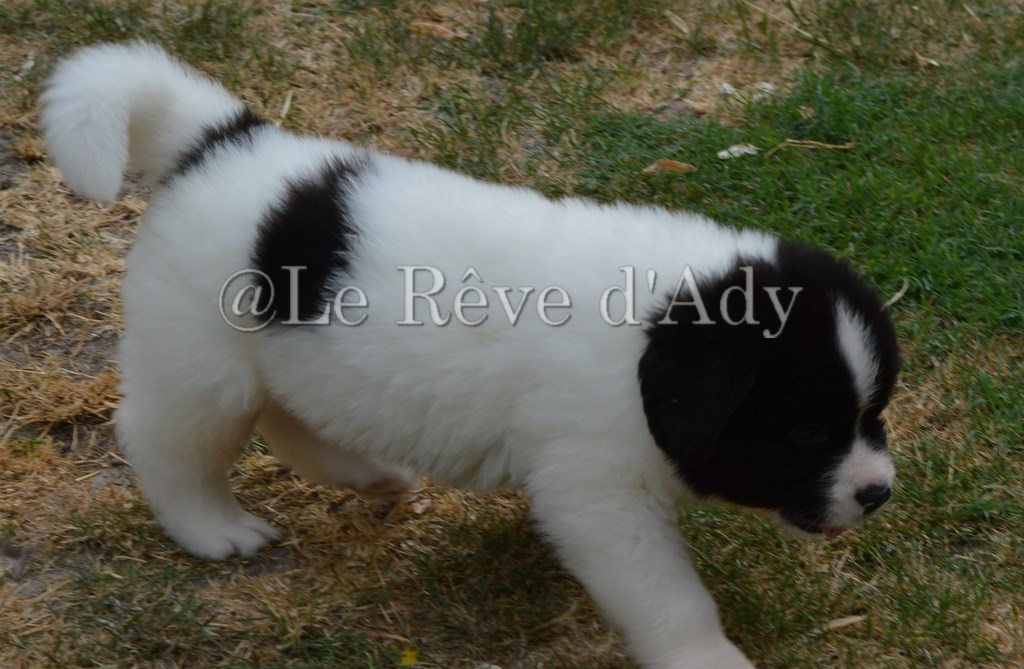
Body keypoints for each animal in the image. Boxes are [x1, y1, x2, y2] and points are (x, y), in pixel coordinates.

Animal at [41, 42, 900, 669]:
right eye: (806, 434)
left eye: (874, 415)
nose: (877, 493)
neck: (650, 342)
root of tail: (221, 144)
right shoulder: (600, 495)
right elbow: (669, 596)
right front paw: (707, 656)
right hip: (200, 359)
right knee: (168, 440)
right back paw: (212, 527)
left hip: (281, 353)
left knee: (290, 419)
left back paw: (370, 474)